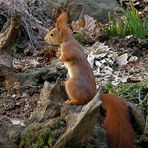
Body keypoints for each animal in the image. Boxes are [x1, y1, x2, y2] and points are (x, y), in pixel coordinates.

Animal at [44, 10, 135, 147]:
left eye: (52, 34)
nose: (44, 38)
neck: (66, 40)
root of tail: (94, 94)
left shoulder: (70, 49)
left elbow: (69, 56)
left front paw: (59, 57)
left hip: (71, 85)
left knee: (83, 101)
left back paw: (71, 101)